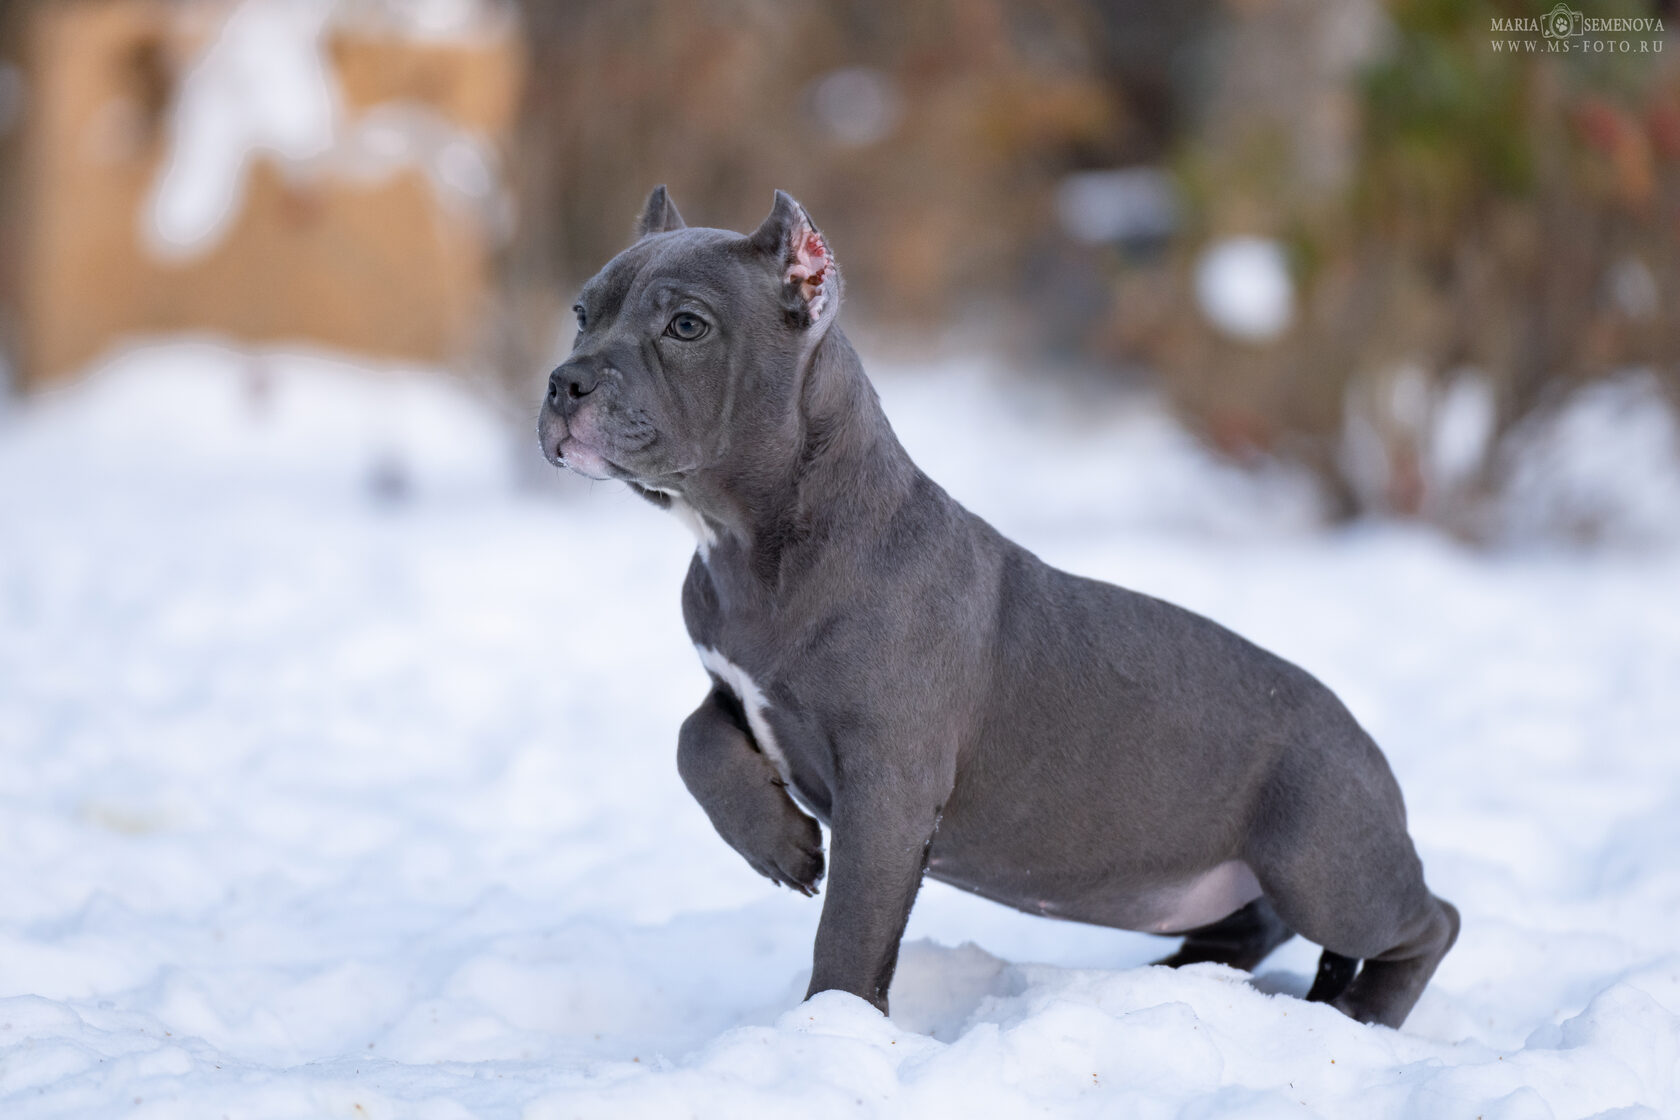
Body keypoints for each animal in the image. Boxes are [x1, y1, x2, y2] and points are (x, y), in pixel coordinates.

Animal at [537, 186, 1458, 1034]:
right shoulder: (735, 685)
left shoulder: (889, 785)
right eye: (582, 314)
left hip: (1322, 862)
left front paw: (833, 1027)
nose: (563, 381)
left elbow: (852, 927)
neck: (751, 543)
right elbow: (693, 740)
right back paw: (1180, 978)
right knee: (1253, 923)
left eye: (687, 327)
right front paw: (780, 845)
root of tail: (1366, 746)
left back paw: (1365, 1011)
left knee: (1427, 922)